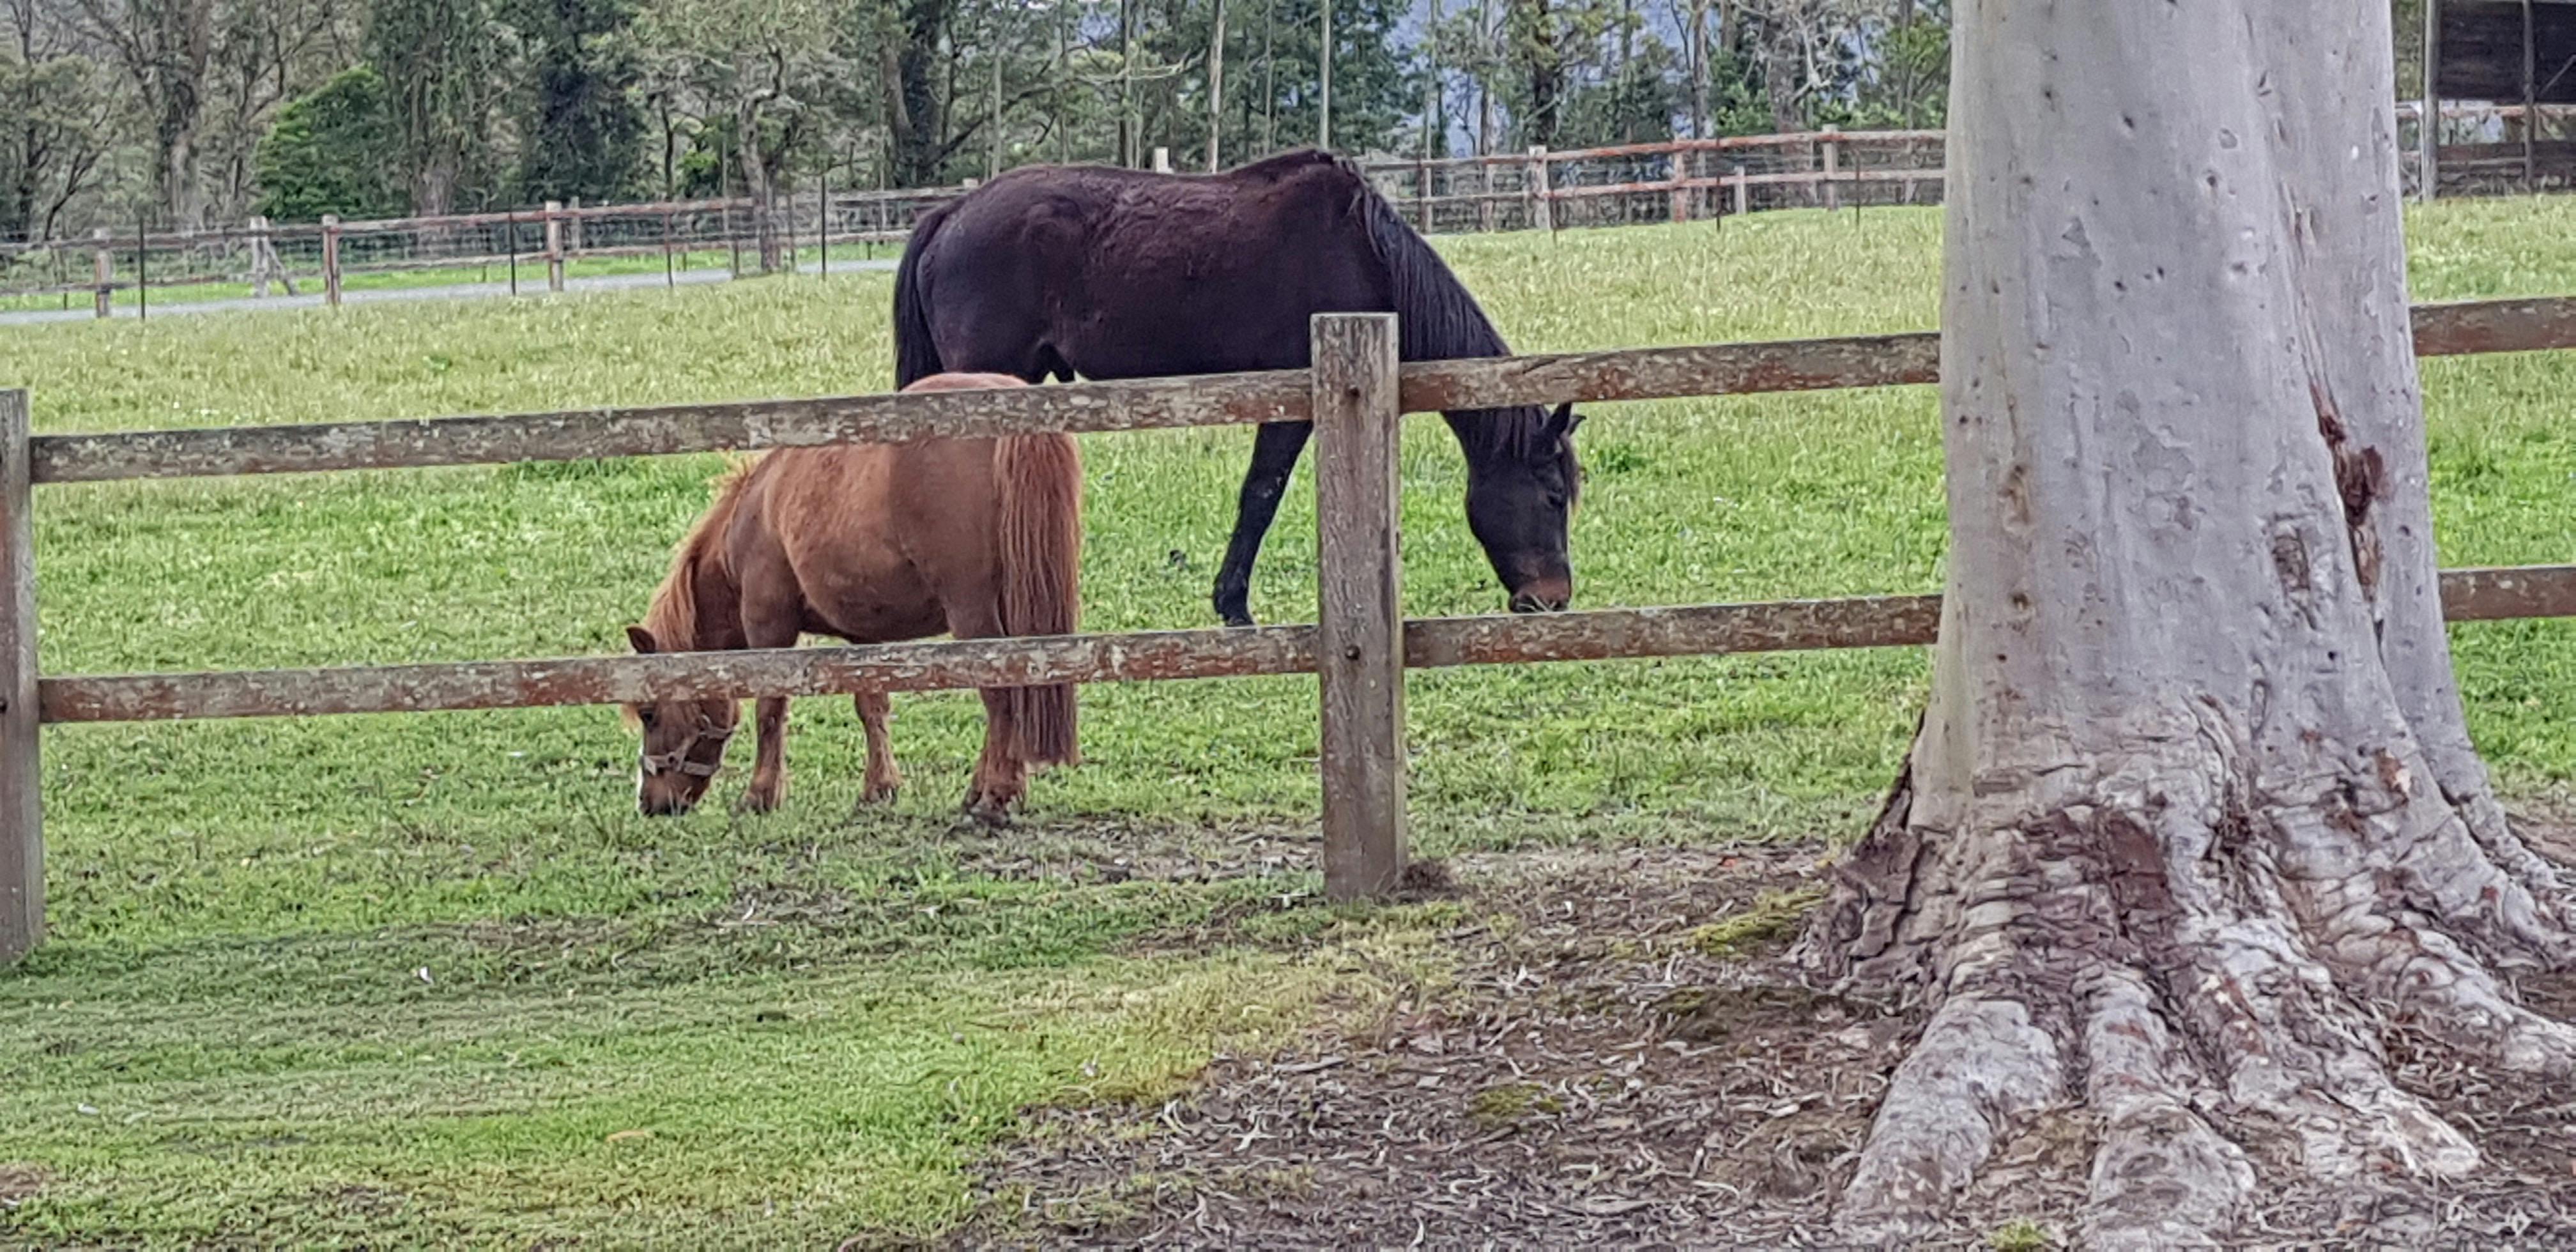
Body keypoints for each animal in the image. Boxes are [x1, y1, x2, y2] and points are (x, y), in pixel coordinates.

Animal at [620, 372, 1082, 825]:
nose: (649, 803)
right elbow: (871, 706)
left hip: (972, 613)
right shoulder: (865, 636)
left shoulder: (769, 625)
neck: (758, 514)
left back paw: (994, 797)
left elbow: (770, 709)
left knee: (1000, 693)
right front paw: (878, 789)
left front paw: (760, 794)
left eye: (649, 713)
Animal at [892, 147, 1581, 628]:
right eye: (1552, 496)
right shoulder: (1289, 408)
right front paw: (1234, 605)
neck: (1363, 255)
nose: (1551, 599)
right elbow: (1260, 498)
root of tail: (950, 215)